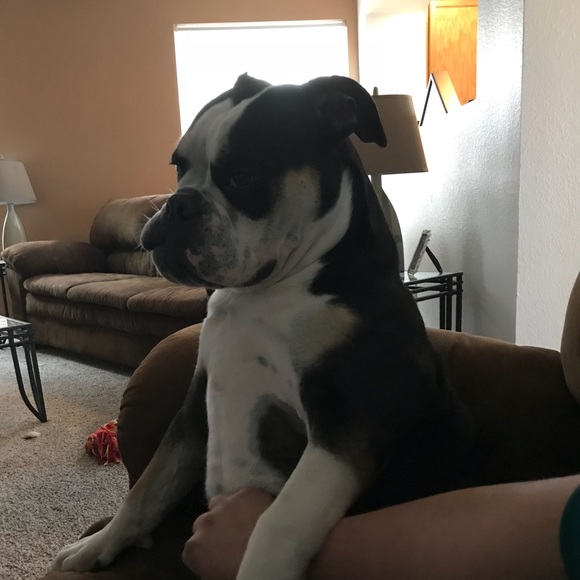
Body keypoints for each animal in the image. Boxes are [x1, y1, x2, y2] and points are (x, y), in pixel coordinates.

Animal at [52, 74, 474, 579]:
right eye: (179, 168)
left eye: (243, 177)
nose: (177, 204)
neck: (265, 292)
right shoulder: (193, 409)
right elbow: (146, 489)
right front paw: (97, 545)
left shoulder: (349, 424)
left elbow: (278, 519)